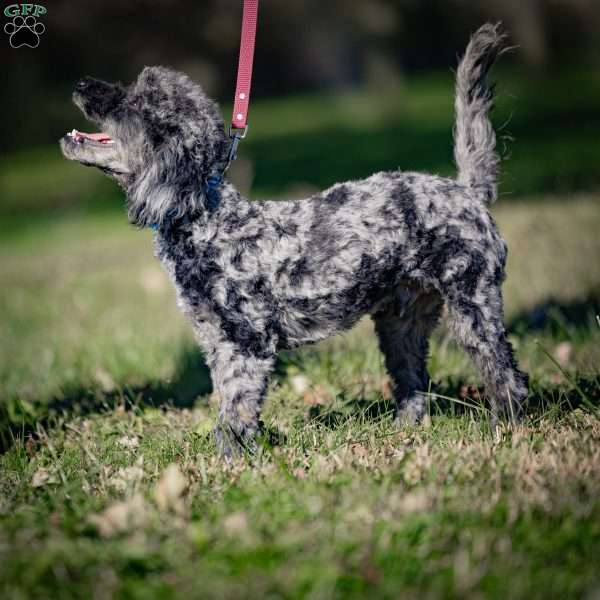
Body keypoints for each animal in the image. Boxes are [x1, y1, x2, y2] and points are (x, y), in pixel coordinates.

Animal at [61, 22, 528, 454]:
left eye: (136, 100)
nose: (81, 84)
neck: (207, 220)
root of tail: (468, 190)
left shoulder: (245, 343)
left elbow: (237, 406)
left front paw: (232, 462)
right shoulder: (215, 341)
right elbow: (227, 401)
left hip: (473, 307)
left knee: (506, 373)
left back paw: (506, 428)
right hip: (401, 324)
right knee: (413, 383)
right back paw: (405, 432)